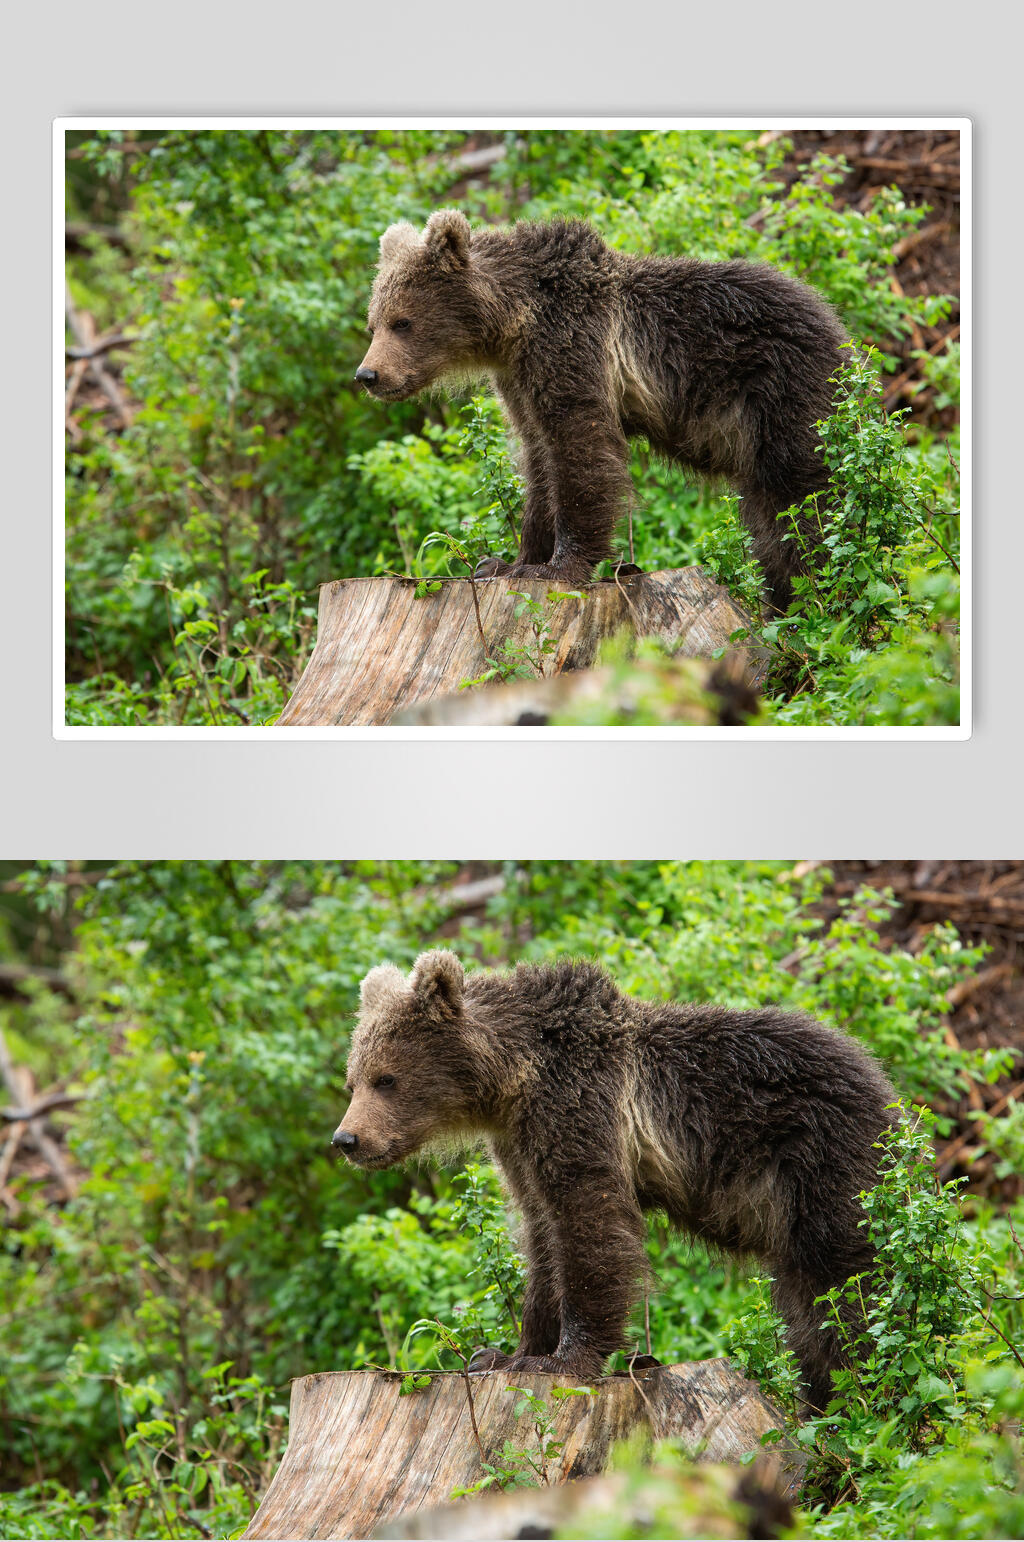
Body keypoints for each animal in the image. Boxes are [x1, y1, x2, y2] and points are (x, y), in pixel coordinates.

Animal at [332, 950, 895, 1413]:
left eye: (386, 1078)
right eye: (353, 1080)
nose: (346, 1139)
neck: (516, 1079)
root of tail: (882, 1082)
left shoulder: (581, 1109)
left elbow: (590, 1227)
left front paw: (564, 1359)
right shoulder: (520, 1146)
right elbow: (542, 1237)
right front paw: (505, 1353)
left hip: (820, 1163)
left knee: (845, 1280)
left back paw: (860, 1388)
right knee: (805, 1304)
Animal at [355, 210, 848, 612]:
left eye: (403, 322)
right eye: (374, 323)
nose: (368, 375)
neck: (516, 323)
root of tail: (837, 326)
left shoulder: (573, 348)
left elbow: (580, 451)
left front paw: (558, 567)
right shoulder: (519, 381)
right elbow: (539, 460)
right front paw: (506, 561)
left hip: (783, 396)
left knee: (803, 499)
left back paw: (816, 593)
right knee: (769, 520)